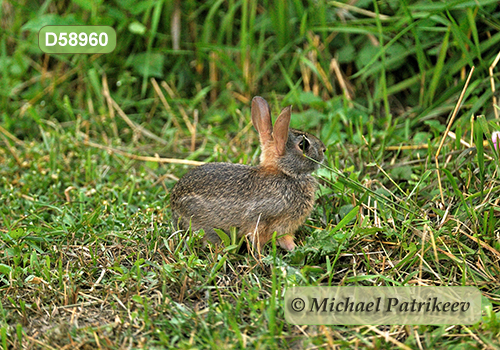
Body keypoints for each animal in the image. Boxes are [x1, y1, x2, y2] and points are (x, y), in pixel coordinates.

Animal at [172, 95, 326, 252]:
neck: (284, 173)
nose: (323, 149)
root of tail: (174, 206)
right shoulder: (267, 220)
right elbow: (266, 239)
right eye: (303, 145)